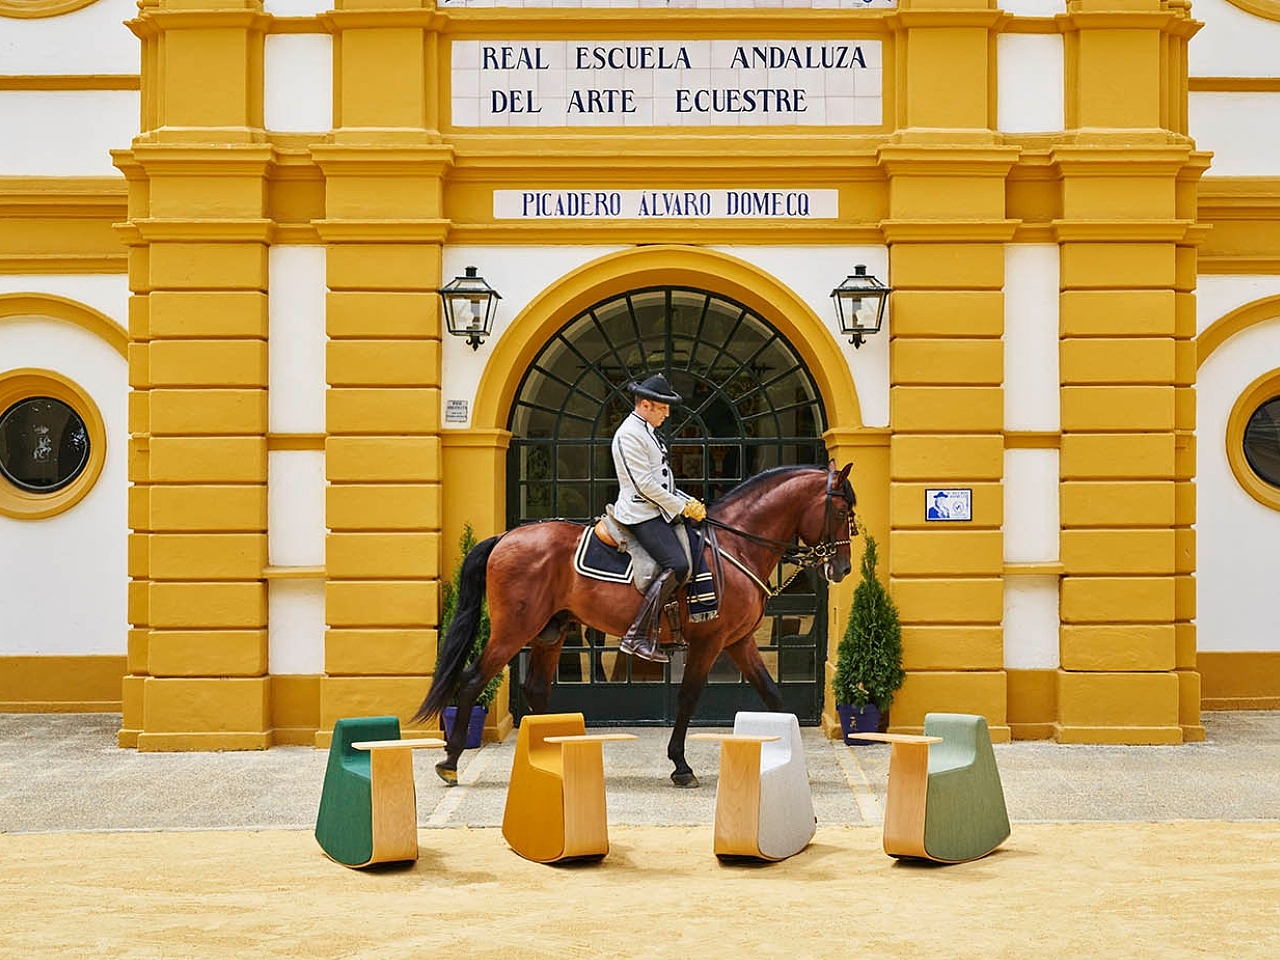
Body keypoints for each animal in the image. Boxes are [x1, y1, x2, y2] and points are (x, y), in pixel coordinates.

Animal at [417, 463, 860, 783]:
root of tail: (505, 537)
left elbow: (774, 697)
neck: (736, 544)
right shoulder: (709, 642)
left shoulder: (739, 642)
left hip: (550, 633)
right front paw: (680, 765)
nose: (842, 567)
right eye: (841, 511)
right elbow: (688, 698)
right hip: (514, 631)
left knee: (537, 690)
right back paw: (451, 761)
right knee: (472, 680)